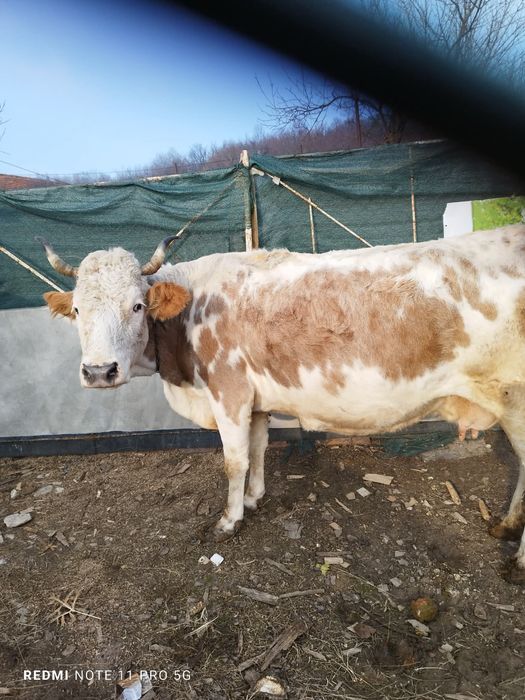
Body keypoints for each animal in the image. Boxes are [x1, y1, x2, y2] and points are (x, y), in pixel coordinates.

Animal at [38, 225, 525, 582]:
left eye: (138, 305)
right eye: (77, 310)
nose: (99, 371)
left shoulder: (229, 392)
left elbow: (233, 460)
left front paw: (229, 519)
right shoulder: (256, 400)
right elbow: (257, 449)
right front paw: (254, 498)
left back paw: (516, 556)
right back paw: (504, 525)